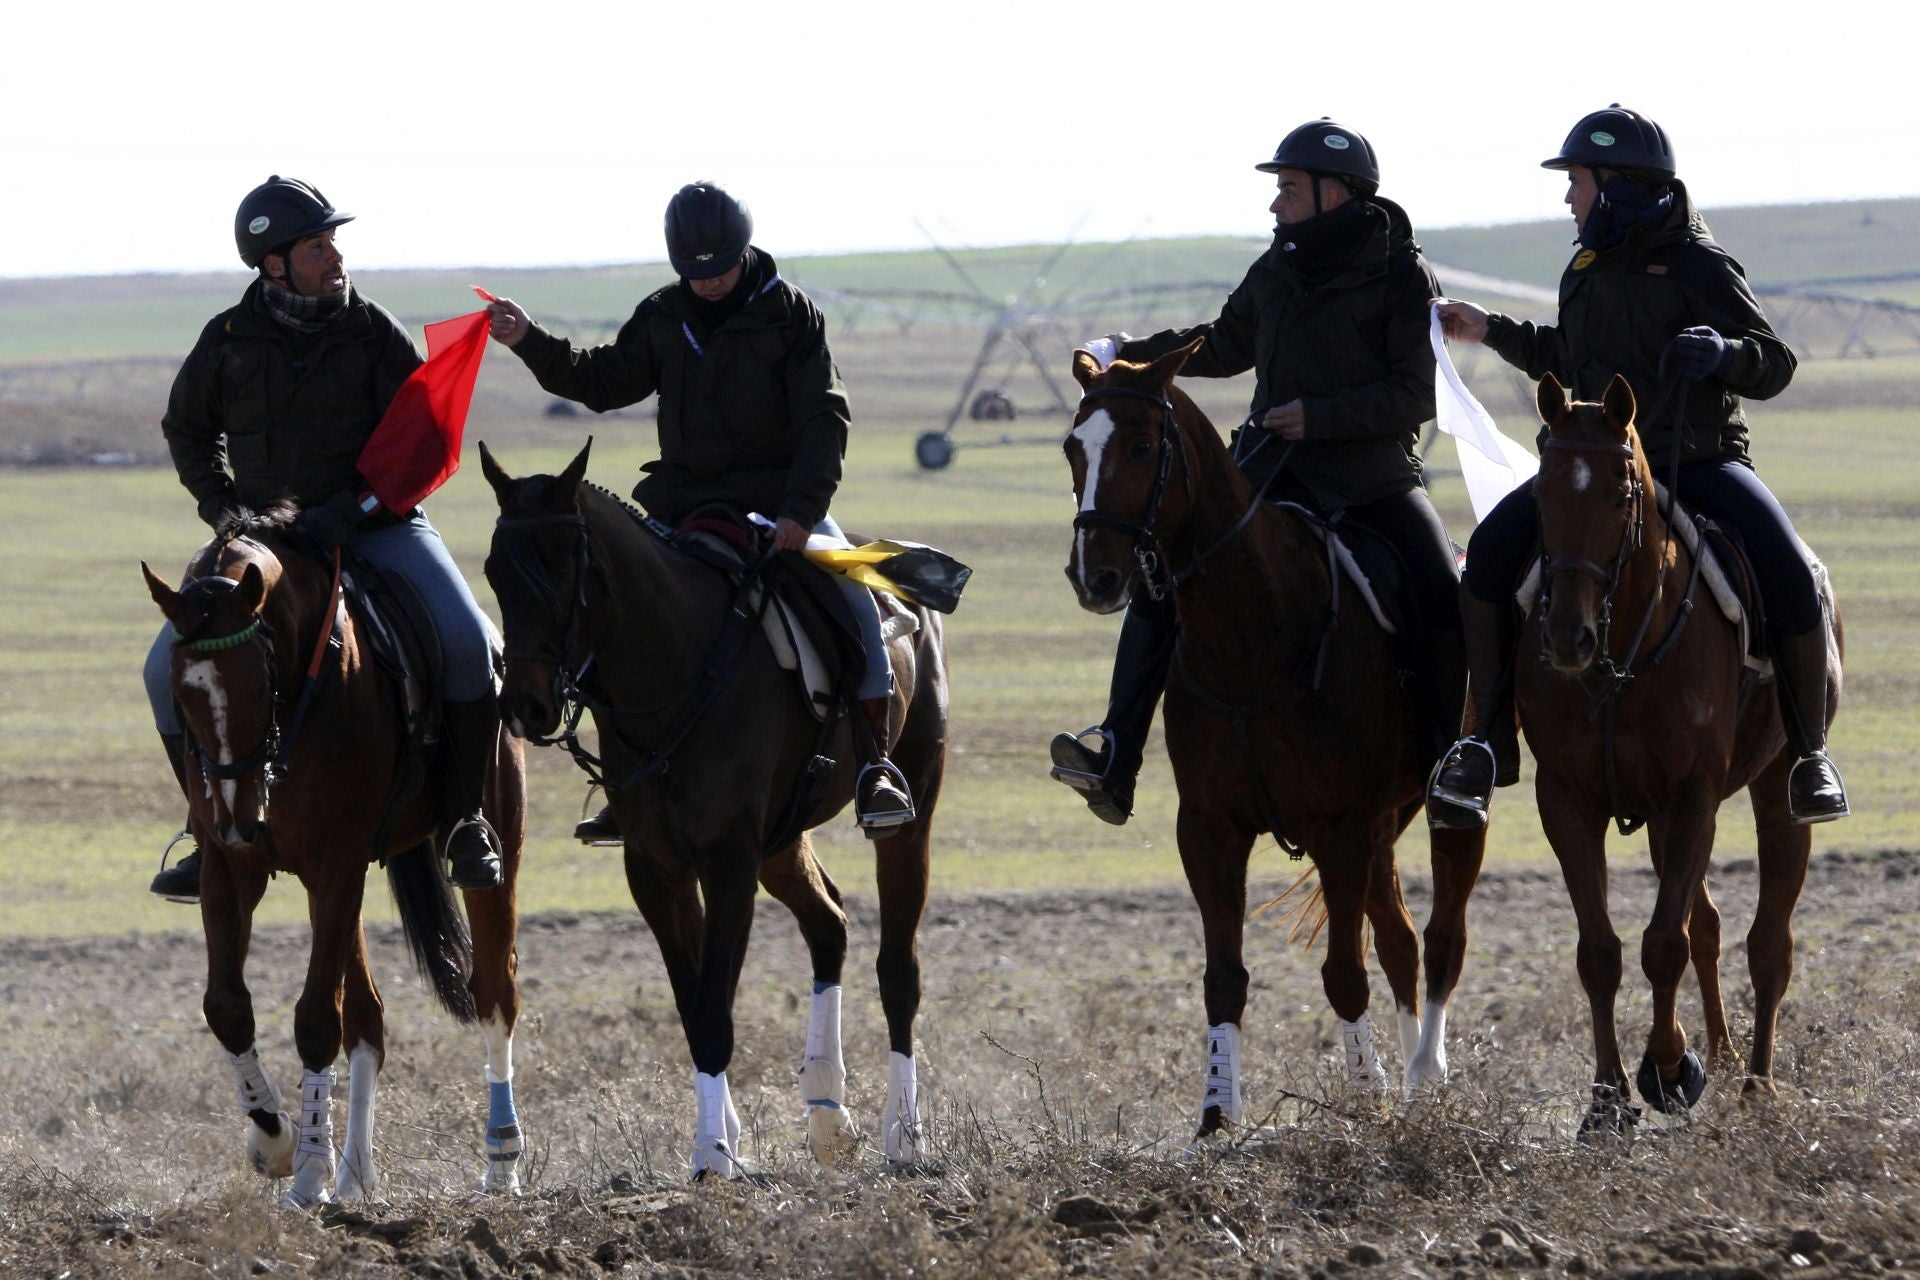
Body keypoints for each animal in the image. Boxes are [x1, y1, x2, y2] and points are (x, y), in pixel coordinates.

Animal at [140, 506, 533, 1205]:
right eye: (182, 696)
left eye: (258, 684)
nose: (238, 816)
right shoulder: (230, 871)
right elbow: (228, 1007)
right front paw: (278, 1142)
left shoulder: (335, 864)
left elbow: (317, 1018)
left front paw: (304, 1172)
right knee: (368, 1021)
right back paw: (353, 1174)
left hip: (487, 856)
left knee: (494, 993)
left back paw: (500, 1162)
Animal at [480, 441, 944, 1182]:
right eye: (496, 570)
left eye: (562, 565)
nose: (526, 704)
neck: (677, 665)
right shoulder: (658, 868)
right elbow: (694, 1002)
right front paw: (721, 1143)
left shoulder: (727, 863)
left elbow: (714, 1006)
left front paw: (712, 1154)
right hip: (780, 843)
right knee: (829, 925)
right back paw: (827, 1115)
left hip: (909, 817)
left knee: (898, 969)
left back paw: (903, 1136)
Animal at [1067, 343, 1482, 1143]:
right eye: (1074, 448)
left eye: (1141, 446)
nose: (1094, 575)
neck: (1256, 629)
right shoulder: (1210, 830)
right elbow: (1224, 979)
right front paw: (1215, 1116)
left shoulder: (1340, 828)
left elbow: (1343, 974)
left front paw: (1364, 1103)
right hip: (1384, 825)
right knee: (1401, 940)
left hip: (1437, 816)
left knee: (1443, 939)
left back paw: (1425, 1080)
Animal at [1520, 376, 1835, 1136]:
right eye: (1541, 495)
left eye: (1620, 494)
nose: (1567, 636)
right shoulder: (1566, 801)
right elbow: (1601, 952)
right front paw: (1606, 1102)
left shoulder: (1692, 797)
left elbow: (1664, 943)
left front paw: (1667, 1069)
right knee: (1710, 928)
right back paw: (1721, 1055)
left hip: (1775, 791)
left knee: (1767, 942)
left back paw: (1755, 1084)